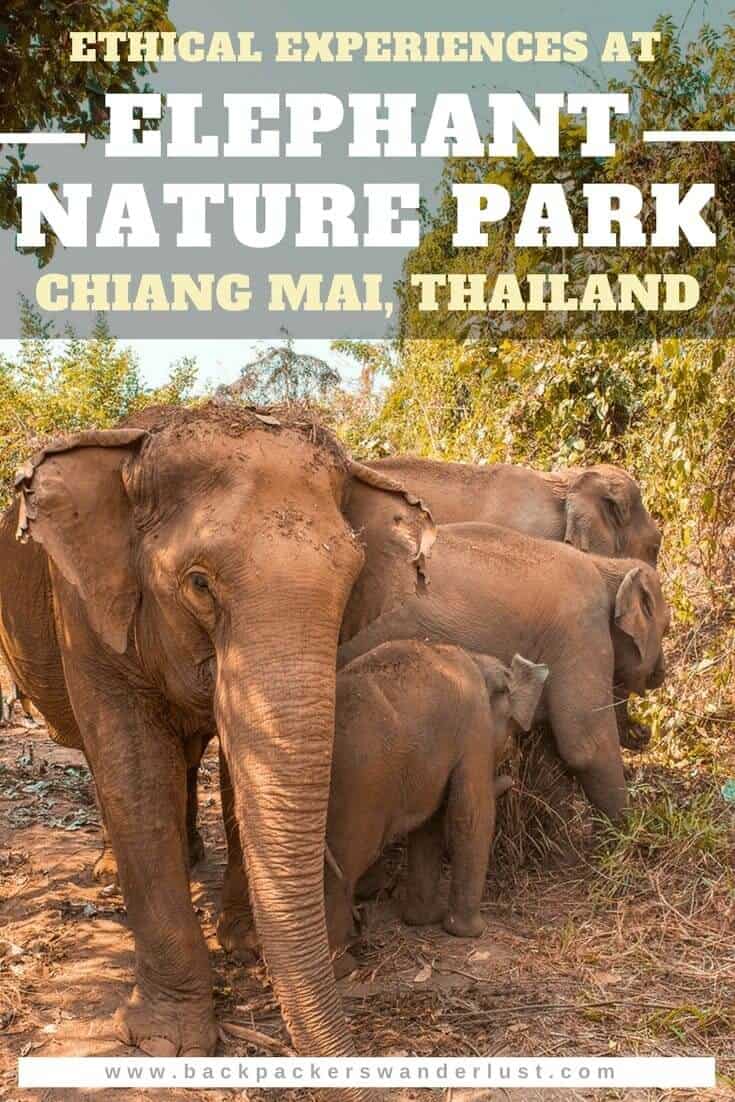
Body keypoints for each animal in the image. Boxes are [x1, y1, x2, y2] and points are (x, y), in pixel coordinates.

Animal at [0, 402, 434, 1084]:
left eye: (351, 585)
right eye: (199, 584)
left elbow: (238, 764)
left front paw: (246, 945)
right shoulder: (84, 611)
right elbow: (132, 769)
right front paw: (166, 1043)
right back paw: (110, 873)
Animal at [325, 641, 549, 975]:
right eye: (509, 735)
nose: (511, 781)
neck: (476, 660)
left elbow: (428, 825)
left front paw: (423, 920)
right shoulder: (474, 729)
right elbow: (470, 816)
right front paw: (470, 932)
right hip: (357, 789)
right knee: (343, 867)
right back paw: (342, 968)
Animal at [338, 523, 670, 821]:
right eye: (666, 629)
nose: (645, 732)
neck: (607, 565)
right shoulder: (581, 628)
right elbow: (586, 744)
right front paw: (630, 828)